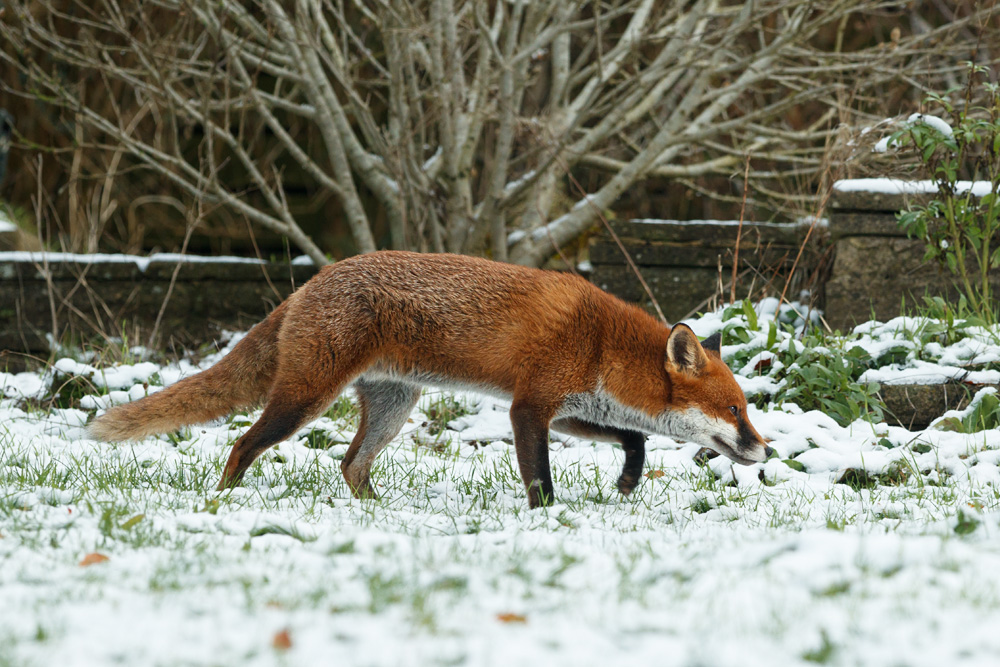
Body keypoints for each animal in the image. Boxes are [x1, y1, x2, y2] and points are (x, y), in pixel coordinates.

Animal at [88, 251, 772, 508]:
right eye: (737, 411)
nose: (767, 451)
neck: (603, 344)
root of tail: (311, 280)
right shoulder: (528, 408)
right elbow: (541, 479)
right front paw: (549, 523)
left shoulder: (571, 407)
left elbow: (635, 437)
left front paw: (628, 480)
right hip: (303, 400)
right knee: (241, 444)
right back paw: (222, 503)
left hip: (393, 406)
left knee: (350, 465)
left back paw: (375, 514)